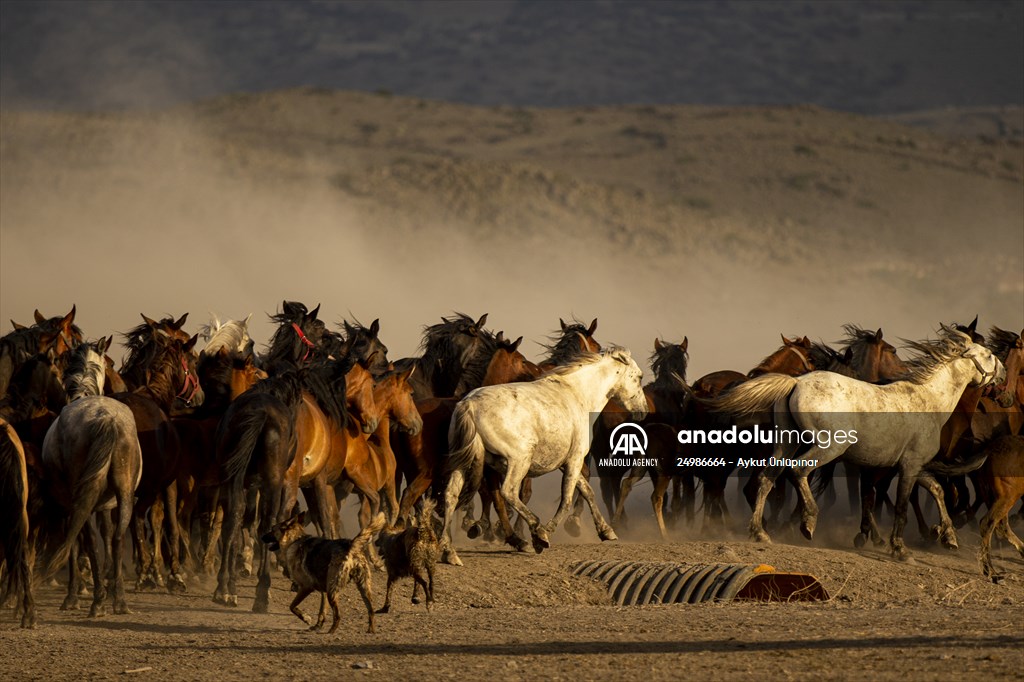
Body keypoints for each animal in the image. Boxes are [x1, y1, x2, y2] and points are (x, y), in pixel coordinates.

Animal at [39, 339, 142, 616]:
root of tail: (106, 418)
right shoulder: (105, 506)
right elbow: (107, 535)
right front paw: (108, 588)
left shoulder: (69, 504)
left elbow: (75, 545)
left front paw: (72, 596)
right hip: (124, 494)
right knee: (117, 538)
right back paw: (119, 600)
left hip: (82, 498)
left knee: (90, 543)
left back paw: (97, 602)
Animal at [440, 347, 648, 565]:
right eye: (639, 377)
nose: (643, 411)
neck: (577, 395)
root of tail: (469, 405)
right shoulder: (575, 459)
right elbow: (566, 499)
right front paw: (547, 532)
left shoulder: (566, 462)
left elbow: (587, 491)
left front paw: (606, 531)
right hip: (519, 460)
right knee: (508, 492)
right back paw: (535, 532)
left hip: (463, 464)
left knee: (451, 496)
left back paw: (449, 551)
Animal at [713, 327, 1005, 560]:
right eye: (989, 355)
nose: (1001, 376)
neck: (928, 401)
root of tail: (796, 382)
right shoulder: (909, 466)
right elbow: (901, 506)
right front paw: (899, 549)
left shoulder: (911, 464)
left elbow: (937, 490)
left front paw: (949, 538)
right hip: (828, 447)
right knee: (797, 471)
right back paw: (808, 522)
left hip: (787, 443)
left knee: (766, 478)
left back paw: (759, 533)